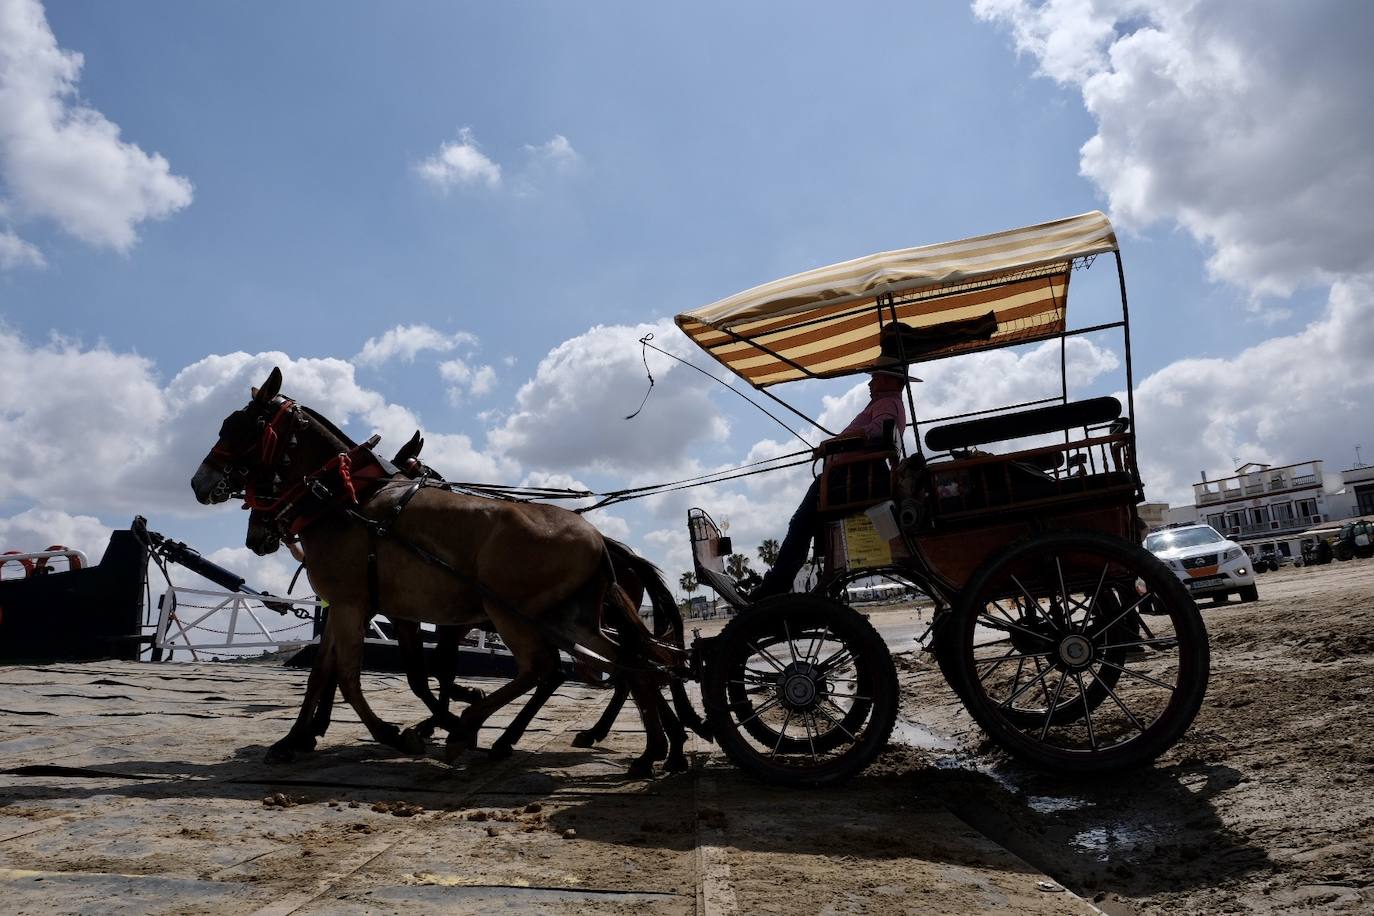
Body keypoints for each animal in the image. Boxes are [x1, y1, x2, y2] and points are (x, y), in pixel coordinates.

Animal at [190, 365, 684, 774]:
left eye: (238, 427)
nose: (198, 483)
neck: (348, 499)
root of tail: (600, 540)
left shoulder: (358, 606)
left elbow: (356, 675)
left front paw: (398, 732)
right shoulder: (362, 606)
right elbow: (329, 672)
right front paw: (295, 737)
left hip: (511, 611)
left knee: (547, 667)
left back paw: (475, 730)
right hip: (571, 617)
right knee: (633, 662)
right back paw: (657, 747)